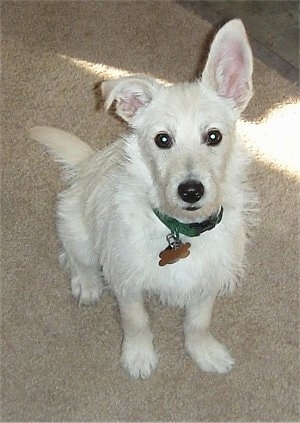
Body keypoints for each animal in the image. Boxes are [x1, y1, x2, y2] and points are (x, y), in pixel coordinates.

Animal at [29, 18, 255, 380]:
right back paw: (87, 284)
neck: (179, 228)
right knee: (77, 258)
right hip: (77, 231)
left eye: (214, 136)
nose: (191, 191)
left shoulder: (208, 278)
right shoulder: (126, 279)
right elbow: (136, 321)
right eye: (163, 140)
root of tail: (87, 164)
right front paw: (138, 355)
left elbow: (199, 321)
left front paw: (204, 351)